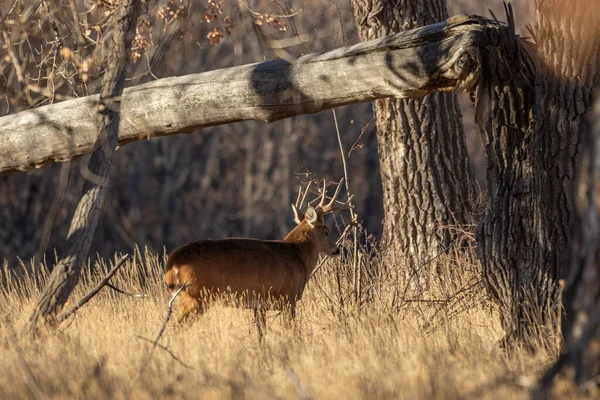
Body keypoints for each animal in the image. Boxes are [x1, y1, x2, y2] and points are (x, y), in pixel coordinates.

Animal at [164, 178, 352, 334]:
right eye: (326, 232)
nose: (336, 249)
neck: (298, 256)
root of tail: (172, 262)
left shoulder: (260, 305)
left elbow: (261, 335)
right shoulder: (288, 297)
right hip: (196, 295)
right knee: (175, 328)